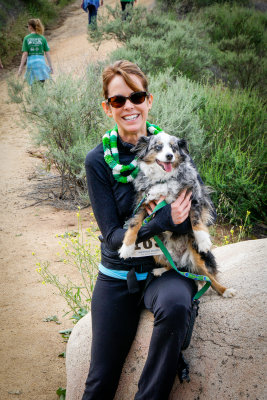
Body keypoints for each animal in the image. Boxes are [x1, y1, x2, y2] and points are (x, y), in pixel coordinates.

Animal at [119, 131, 237, 296]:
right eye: (158, 147)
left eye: (174, 148)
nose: (169, 156)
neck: (163, 180)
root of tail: (180, 259)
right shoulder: (143, 203)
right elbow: (134, 224)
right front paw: (126, 248)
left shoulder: (193, 197)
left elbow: (195, 220)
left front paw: (203, 240)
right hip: (157, 253)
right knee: (172, 267)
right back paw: (161, 270)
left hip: (196, 258)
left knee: (210, 279)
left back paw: (225, 290)